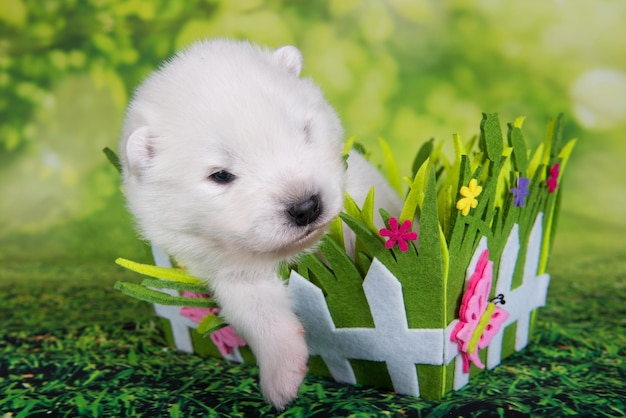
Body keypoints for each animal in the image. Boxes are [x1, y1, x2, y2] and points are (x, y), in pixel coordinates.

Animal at [117, 39, 400, 408]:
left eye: (304, 132)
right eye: (220, 175)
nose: (306, 206)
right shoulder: (227, 269)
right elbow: (256, 312)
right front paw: (281, 380)